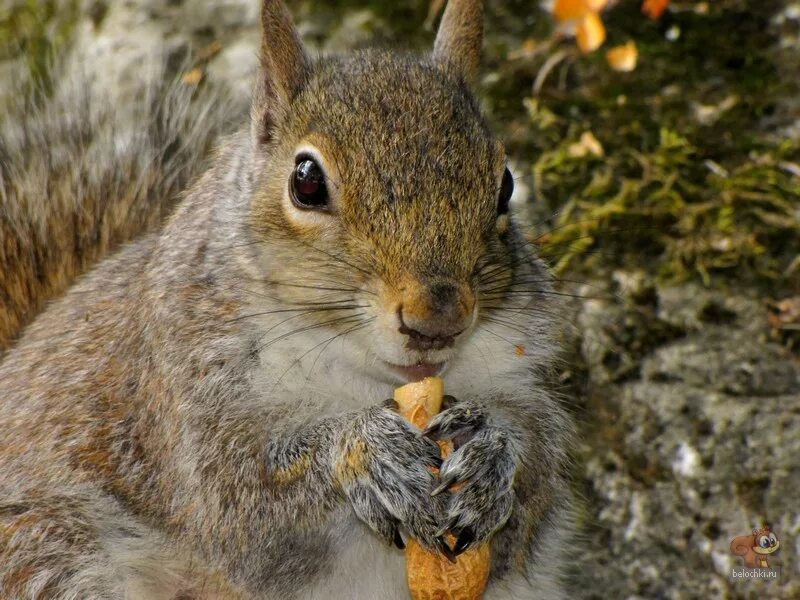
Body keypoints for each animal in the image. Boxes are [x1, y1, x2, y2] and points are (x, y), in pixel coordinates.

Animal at [0, 1, 576, 600]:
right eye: (306, 181)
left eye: (505, 185)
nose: (438, 321)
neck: (359, 374)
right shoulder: (183, 409)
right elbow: (243, 505)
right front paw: (363, 450)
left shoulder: (520, 376)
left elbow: (536, 483)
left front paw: (493, 453)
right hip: (46, 552)